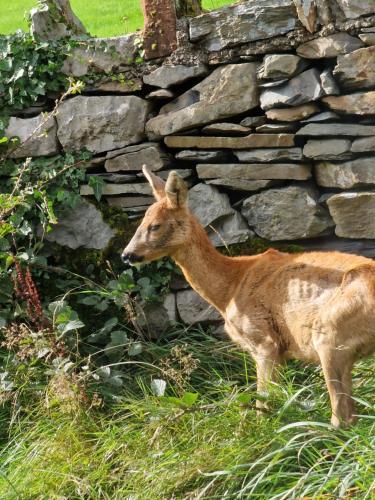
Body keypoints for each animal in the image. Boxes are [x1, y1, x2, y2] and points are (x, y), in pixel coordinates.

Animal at [121, 167, 375, 426]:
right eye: (141, 222)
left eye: (155, 226)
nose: (126, 255)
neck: (229, 287)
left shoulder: (265, 341)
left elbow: (262, 403)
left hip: (330, 335)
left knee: (342, 416)